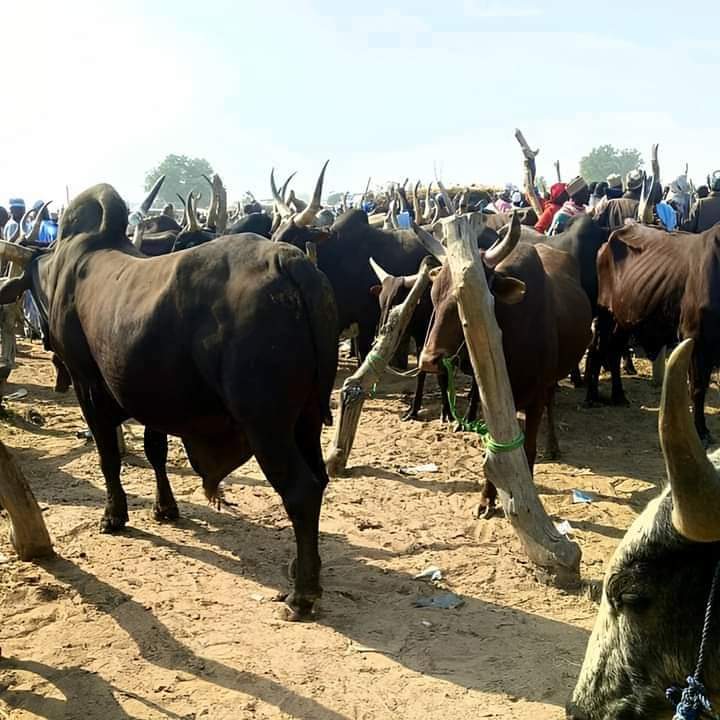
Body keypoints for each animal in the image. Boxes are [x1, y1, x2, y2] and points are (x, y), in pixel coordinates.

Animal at [0, 183, 340, 616]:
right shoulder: (149, 394)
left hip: (267, 424)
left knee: (300, 490)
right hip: (307, 418)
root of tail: (288, 260)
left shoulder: (87, 384)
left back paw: (302, 595)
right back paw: (302, 569)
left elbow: (108, 455)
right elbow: (155, 450)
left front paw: (114, 516)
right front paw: (165, 508)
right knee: (320, 479)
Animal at [416, 217, 592, 516]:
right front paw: (487, 498)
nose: (429, 360)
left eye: (465, 300)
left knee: (551, 404)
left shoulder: (535, 397)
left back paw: (553, 445)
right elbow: (495, 449)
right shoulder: (490, 400)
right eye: (433, 295)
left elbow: (528, 448)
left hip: (551, 381)